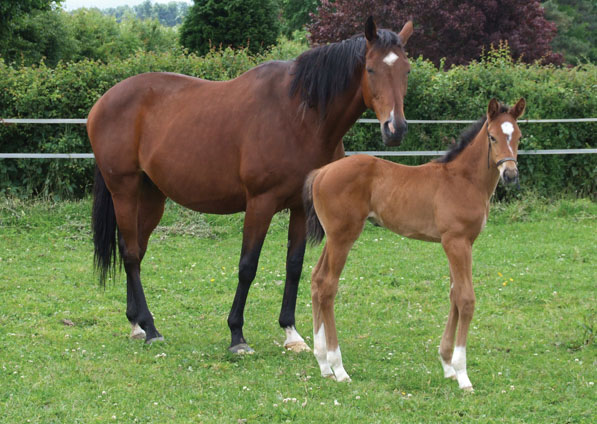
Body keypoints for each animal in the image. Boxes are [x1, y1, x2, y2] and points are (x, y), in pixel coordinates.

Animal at [88, 18, 412, 352]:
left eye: (407, 70)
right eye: (370, 69)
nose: (395, 129)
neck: (299, 116)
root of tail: (103, 102)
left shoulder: (299, 207)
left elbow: (294, 265)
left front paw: (291, 333)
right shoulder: (260, 203)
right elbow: (248, 266)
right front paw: (237, 335)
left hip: (152, 196)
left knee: (136, 250)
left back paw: (136, 323)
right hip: (123, 190)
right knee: (130, 253)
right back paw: (150, 327)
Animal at [304, 97, 524, 390]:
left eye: (519, 136)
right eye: (492, 136)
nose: (510, 175)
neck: (463, 180)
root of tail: (322, 172)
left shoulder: (458, 243)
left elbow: (454, 295)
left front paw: (447, 365)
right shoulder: (457, 242)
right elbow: (466, 299)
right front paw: (463, 374)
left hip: (334, 237)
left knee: (316, 280)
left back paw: (323, 364)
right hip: (342, 237)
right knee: (328, 287)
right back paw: (338, 368)